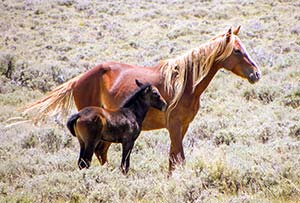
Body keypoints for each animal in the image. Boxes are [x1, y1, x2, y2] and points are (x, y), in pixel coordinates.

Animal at [24, 26, 262, 173]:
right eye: (237, 51)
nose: (256, 74)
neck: (185, 83)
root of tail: (78, 80)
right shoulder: (174, 126)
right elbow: (177, 157)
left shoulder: (183, 126)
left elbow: (174, 158)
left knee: (101, 153)